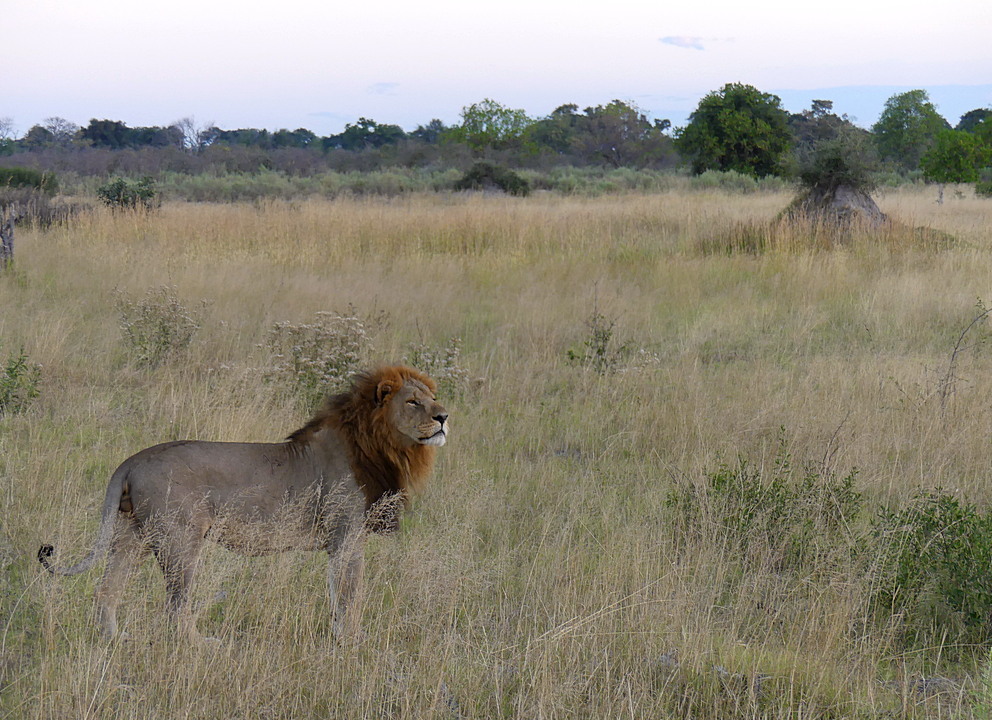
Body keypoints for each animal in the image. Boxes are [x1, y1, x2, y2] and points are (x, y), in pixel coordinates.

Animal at [38, 365, 448, 640]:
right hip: (179, 540)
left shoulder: (343, 539)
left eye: (433, 399)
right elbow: (350, 593)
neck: (384, 448)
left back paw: (114, 639)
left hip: (131, 534)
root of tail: (133, 460)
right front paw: (350, 641)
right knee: (175, 606)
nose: (444, 416)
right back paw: (202, 645)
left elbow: (341, 594)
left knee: (107, 590)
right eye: (413, 402)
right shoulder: (346, 535)